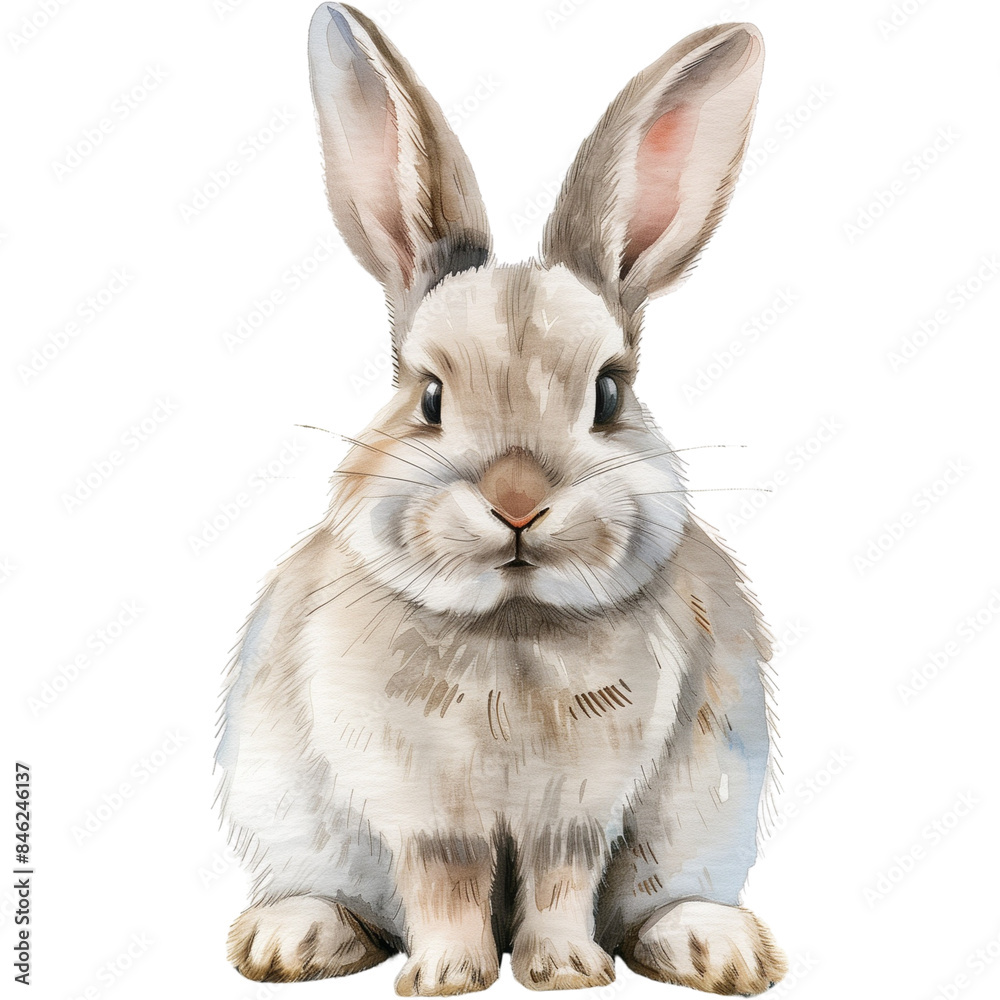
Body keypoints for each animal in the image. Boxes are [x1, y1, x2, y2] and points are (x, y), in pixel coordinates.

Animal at [216, 3, 786, 995]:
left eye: (609, 394)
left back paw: (716, 947)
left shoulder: (584, 802)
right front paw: (450, 974)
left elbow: (562, 874)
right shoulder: (418, 800)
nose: (517, 502)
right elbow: (445, 876)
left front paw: (563, 970)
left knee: (659, 900)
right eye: (429, 398)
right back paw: (292, 938)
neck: (512, 627)